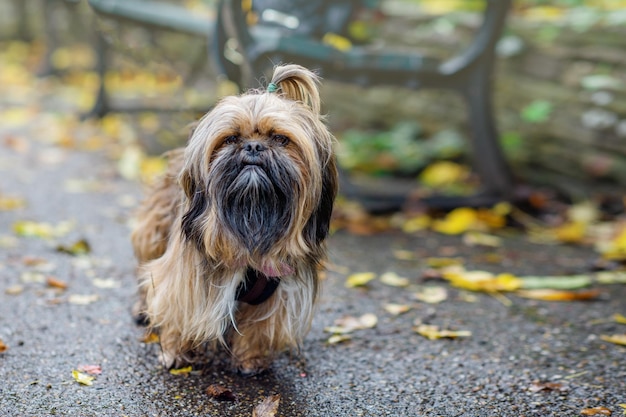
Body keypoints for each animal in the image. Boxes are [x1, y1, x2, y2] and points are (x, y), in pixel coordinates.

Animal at [130, 64, 336, 374]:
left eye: (280, 139)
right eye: (231, 139)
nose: (253, 147)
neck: (251, 220)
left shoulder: (279, 291)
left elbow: (259, 327)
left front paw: (251, 359)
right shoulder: (188, 280)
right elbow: (178, 311)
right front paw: (174, 352)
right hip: (152, 234)